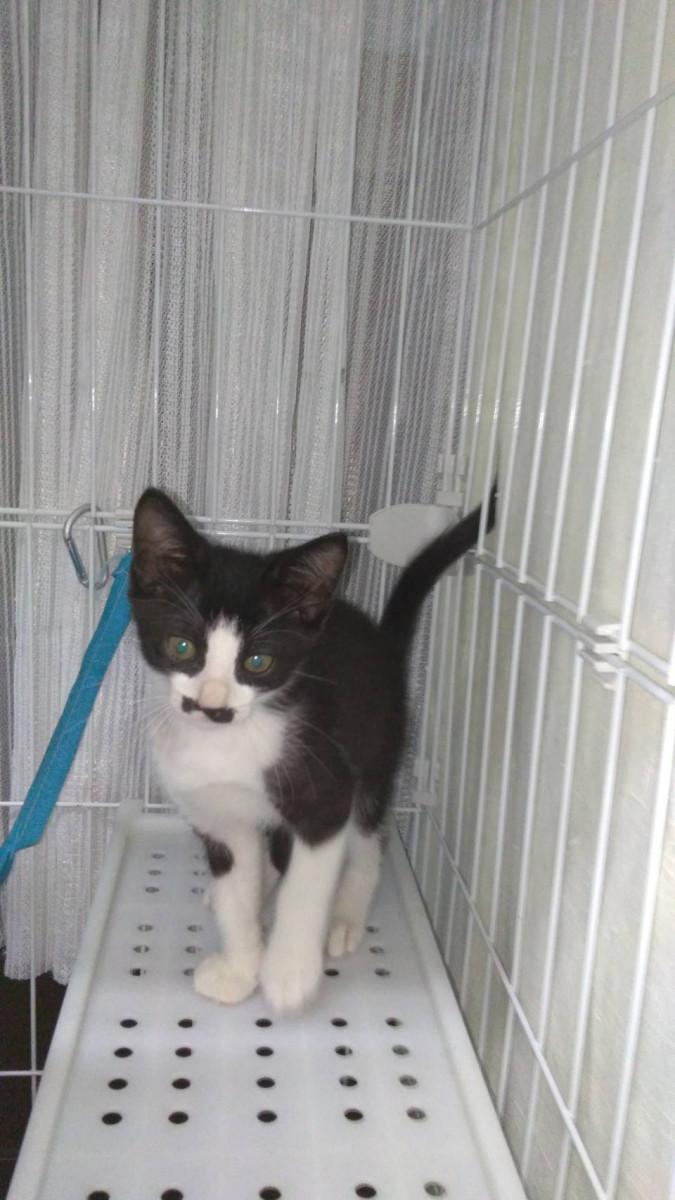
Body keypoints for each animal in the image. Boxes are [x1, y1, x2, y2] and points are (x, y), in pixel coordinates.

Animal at [130, 486, 495, 1013]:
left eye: (257, 662)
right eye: (181, 647)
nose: (213, 706)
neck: (229, 742)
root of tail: (382, 641)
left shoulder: (327, 793)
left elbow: (306, 886)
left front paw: (287, 973)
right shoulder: (215, 813)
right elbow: (236, 889)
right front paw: (239, 968)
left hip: (375, 752)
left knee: (367, 840)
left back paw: (344, 916)